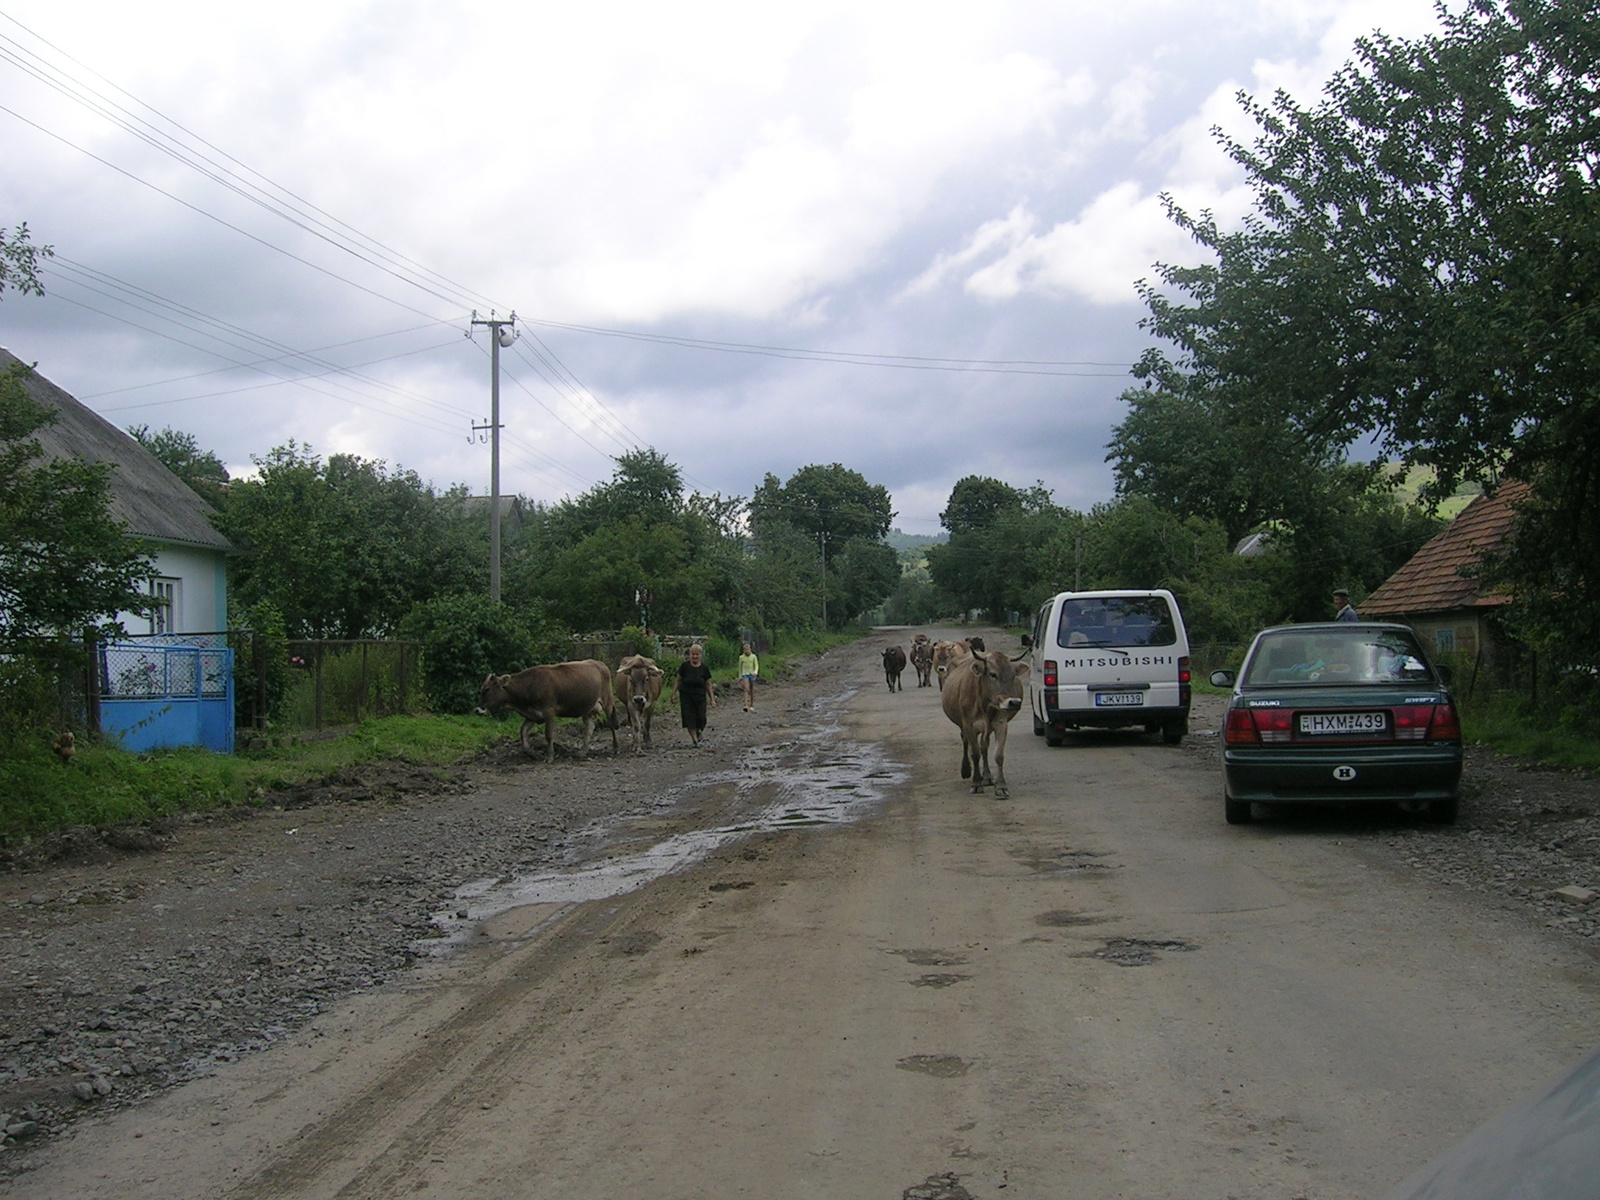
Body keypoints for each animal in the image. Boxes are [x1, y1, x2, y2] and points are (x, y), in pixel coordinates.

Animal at [470, 662, 614, 764]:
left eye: (487, 689)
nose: (477, 710)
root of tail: (599, 664)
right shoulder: (532, 715)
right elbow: (522, 732)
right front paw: (532, 753)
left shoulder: (549, 711)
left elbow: (548, 735)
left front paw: (549, 757)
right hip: (586, 709)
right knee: (589, 727)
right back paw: (583, 752)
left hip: (607, 701)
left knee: (611, 723)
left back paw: (615, 748)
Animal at [934, 649, 1024, 800]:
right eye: (993, 674)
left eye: (1013, 675)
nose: (1014, 703)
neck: (985, 704)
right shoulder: (969, 725)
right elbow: (975, 753)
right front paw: (976, 783)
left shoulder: (1001, 723)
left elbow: (998, 755)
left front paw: (1001, 786)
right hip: (963, 725)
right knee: (966, 742)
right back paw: (966, 770)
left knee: (984, 747)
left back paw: (987, 777)